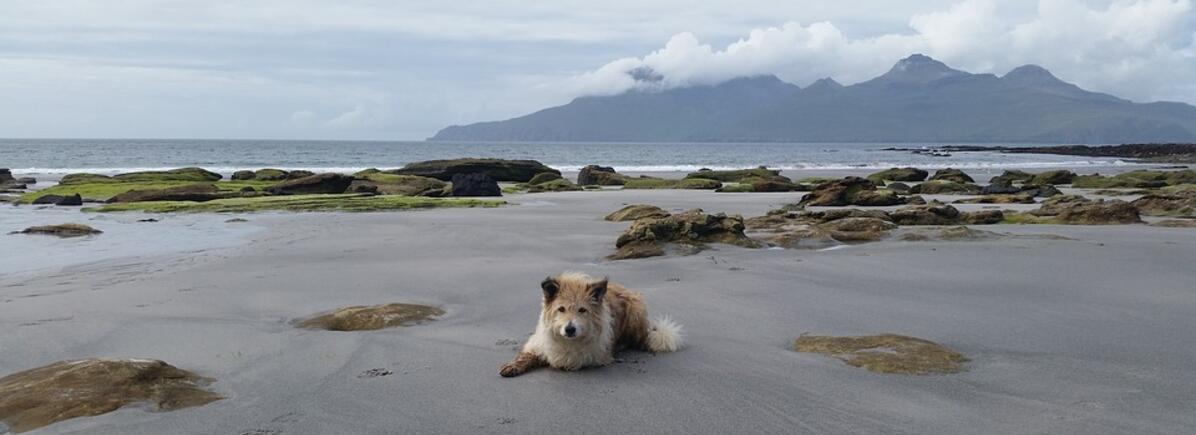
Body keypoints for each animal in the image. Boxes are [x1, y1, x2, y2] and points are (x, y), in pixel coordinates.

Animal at [495, 272, 684, 377]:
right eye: (561, 309)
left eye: (582, 310)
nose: (570, 329)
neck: (569, 342)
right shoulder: (538, 343)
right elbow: (526, 356)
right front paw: (512, 366)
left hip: (635, 312)